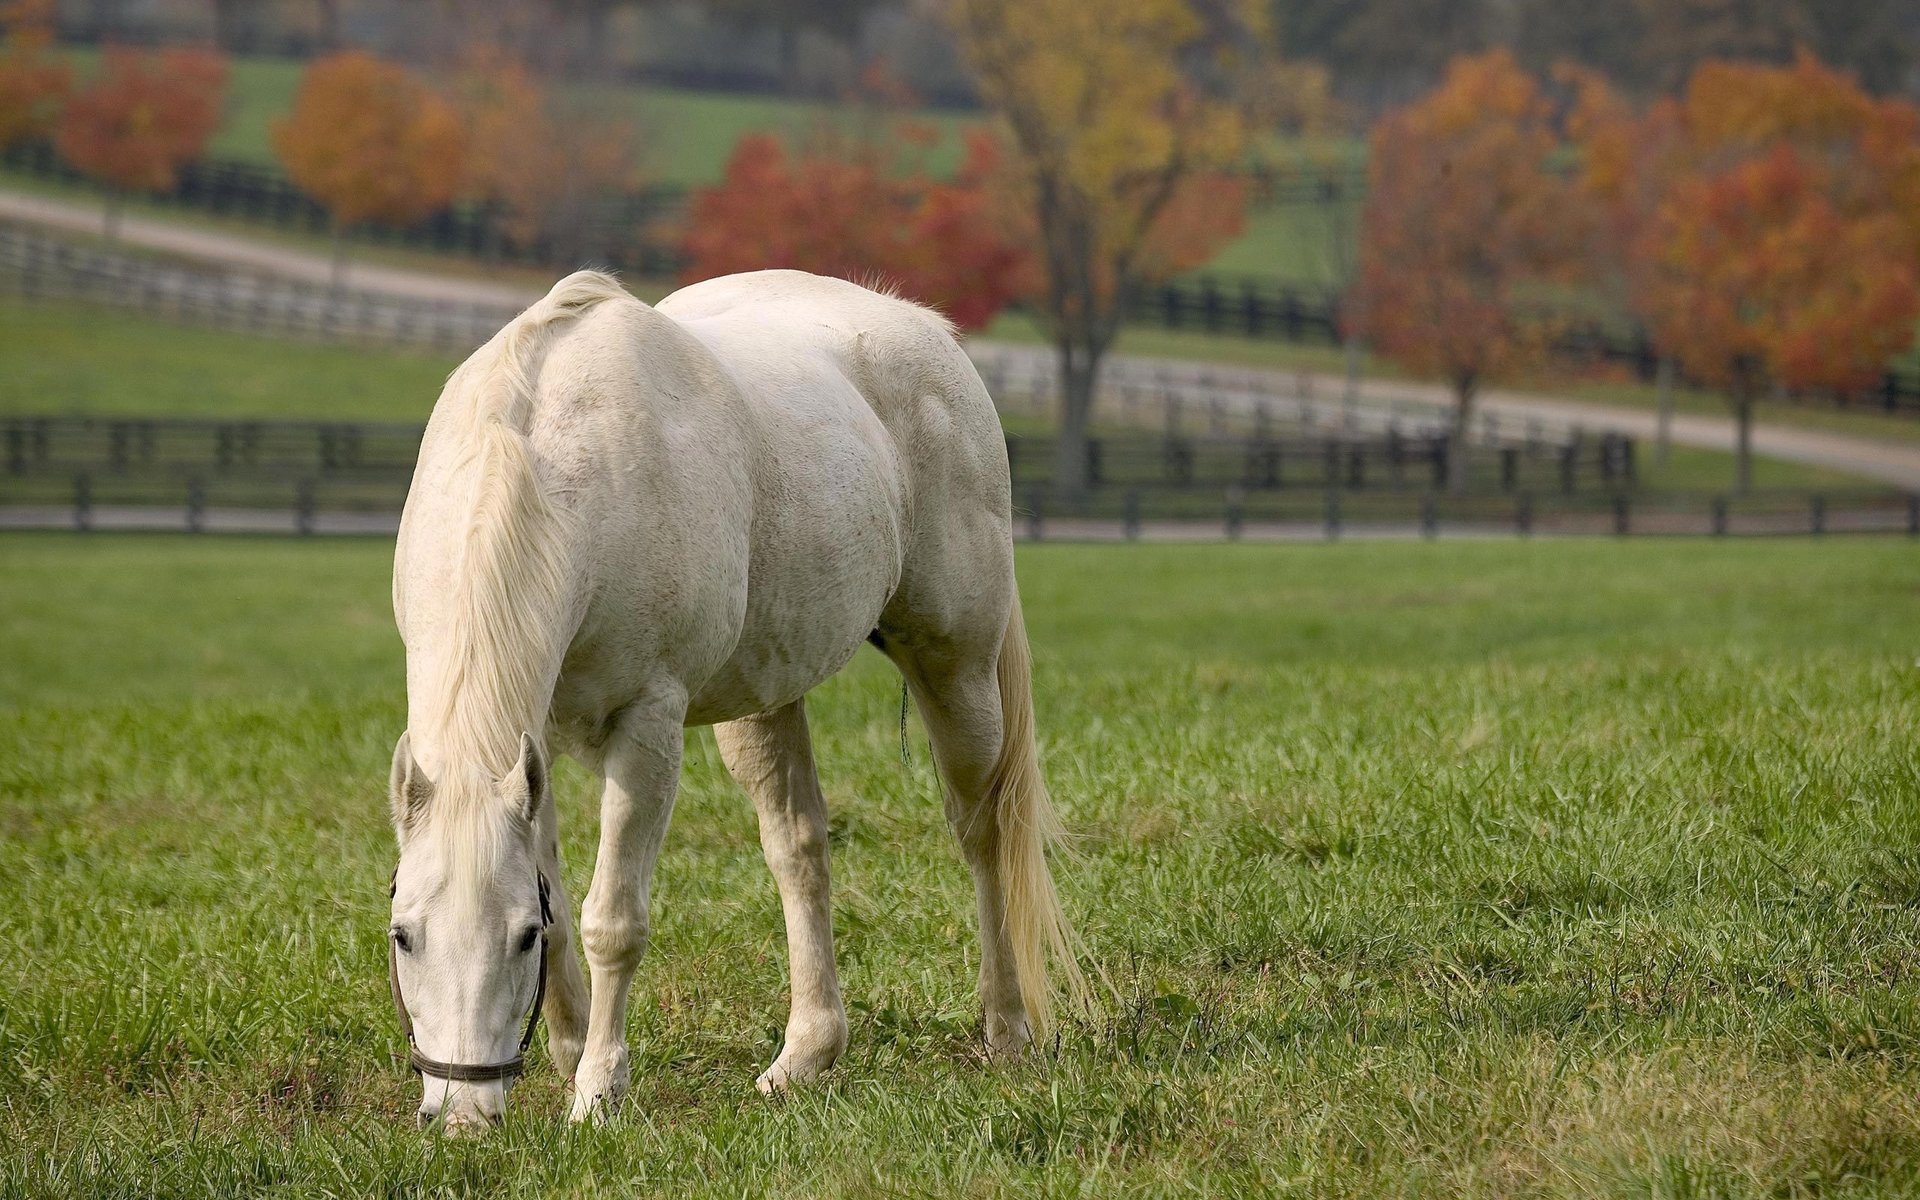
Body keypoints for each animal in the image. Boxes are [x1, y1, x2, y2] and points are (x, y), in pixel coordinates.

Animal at [387, 268, 1081, 1128]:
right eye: (403, 935)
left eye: (517, 939)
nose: (462, 1115)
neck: (553, 466)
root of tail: (927, 330)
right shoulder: (531, 741)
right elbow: (563, 895)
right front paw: (570, 1053)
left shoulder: (648, 727)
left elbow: (612, 919)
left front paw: (598, 1093)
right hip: (766, 700)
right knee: (799, 848)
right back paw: (806, 1055)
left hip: (957, 667)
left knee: (985, 833)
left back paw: (1007, 1029)